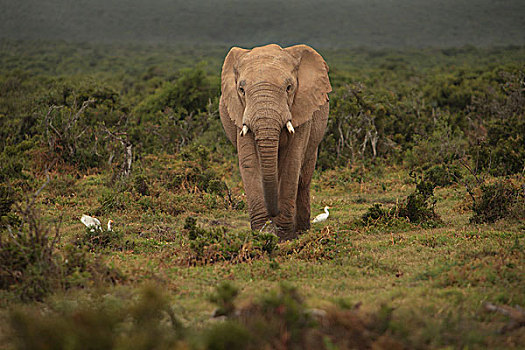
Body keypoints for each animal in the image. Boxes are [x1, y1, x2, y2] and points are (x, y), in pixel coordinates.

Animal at [219, 43, 330, 241]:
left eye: (289, 87)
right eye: (241, 90)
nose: (273, 214)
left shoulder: (302, 109)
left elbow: (292, 163)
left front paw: (285, 236)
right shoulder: (240, 112)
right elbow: (249, 162)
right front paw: (262, 233)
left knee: (303, 180)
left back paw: (302, 230)